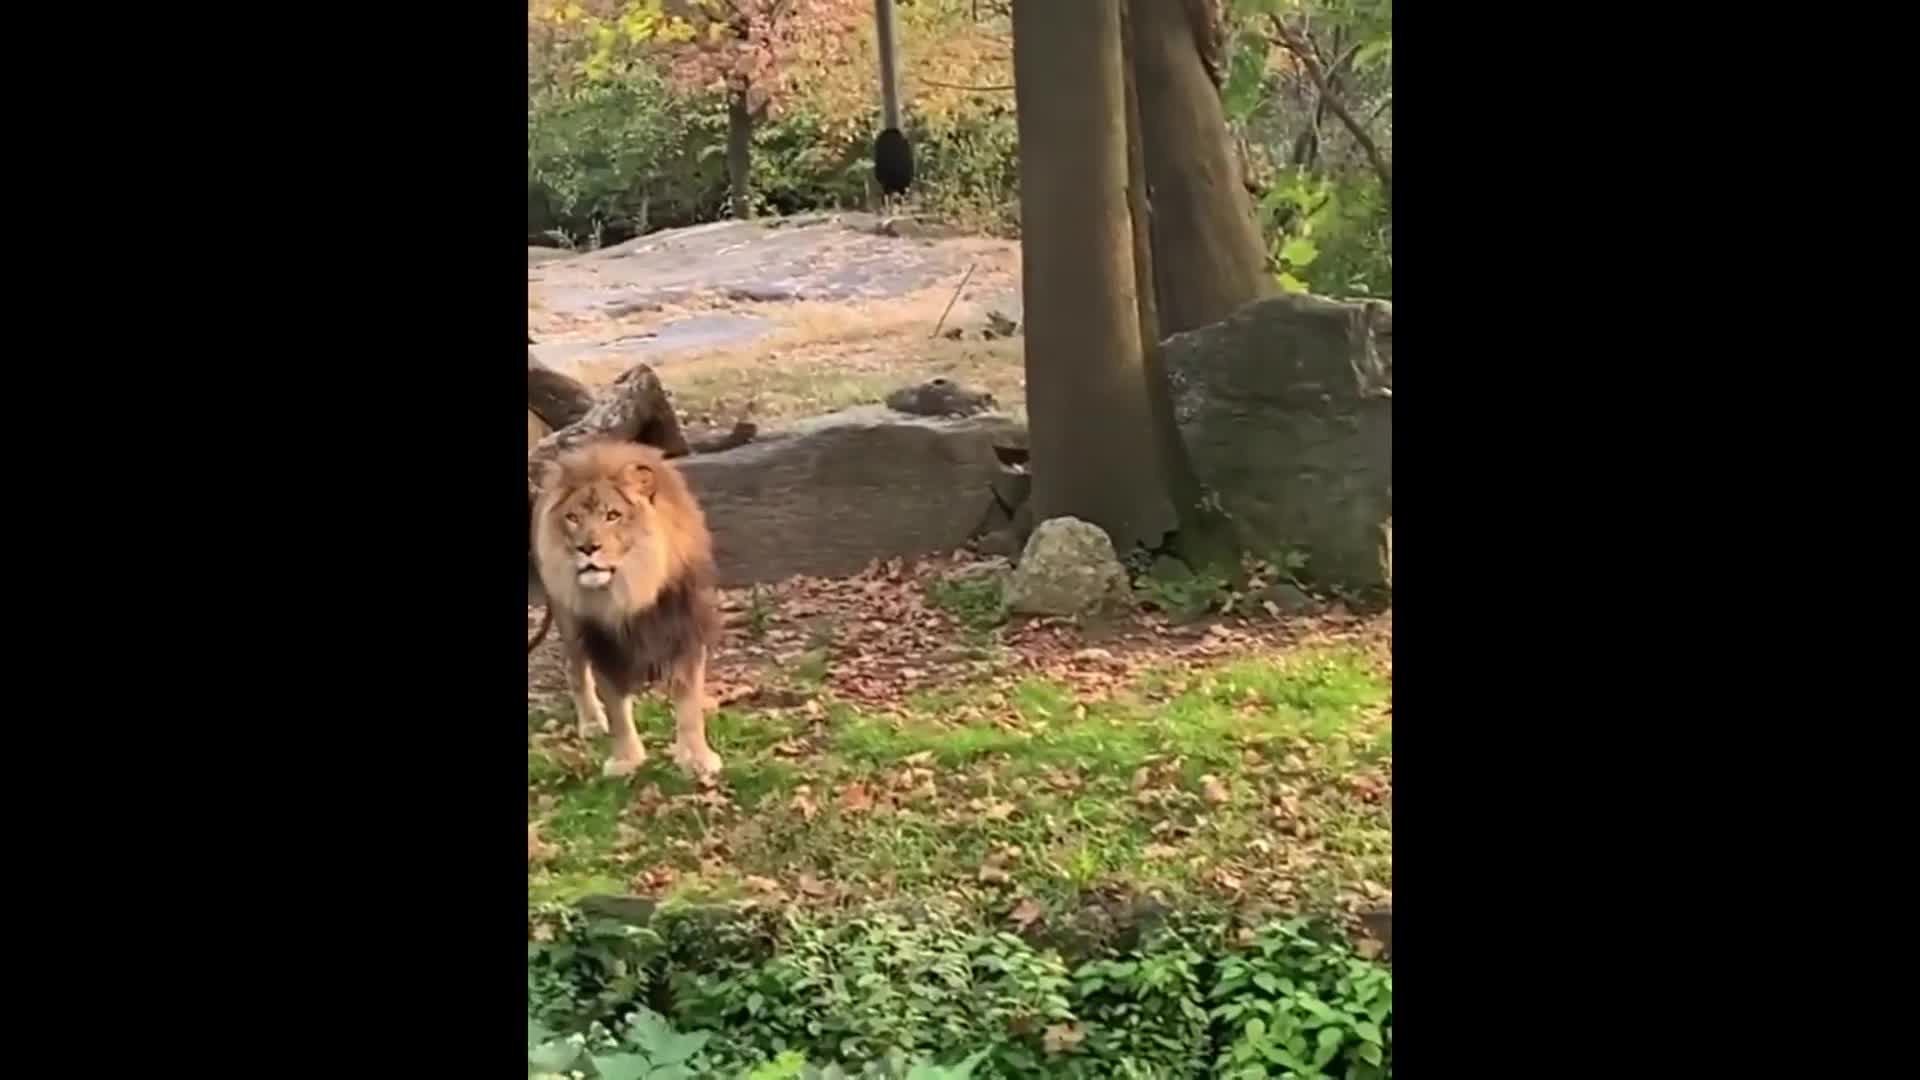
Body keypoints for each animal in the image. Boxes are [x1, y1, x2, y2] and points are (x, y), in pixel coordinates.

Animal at [529, 440, 721, 780]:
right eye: (573, 518)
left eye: (613, 515)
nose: (587, 548)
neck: (629, 590)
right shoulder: (602, 643)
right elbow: (617, 707)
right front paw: (625, 760)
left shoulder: (685, 630)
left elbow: (688, 703)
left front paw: (697, 758)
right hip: (568, 620)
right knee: (575, 671)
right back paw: (592, 722)